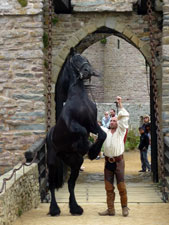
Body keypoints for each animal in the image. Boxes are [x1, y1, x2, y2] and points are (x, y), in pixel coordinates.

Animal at [46, 49, 107, 216]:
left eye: (85, 58)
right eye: (76, 59)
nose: (87, 71)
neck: (79, 99)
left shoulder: (93, 123)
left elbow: (103, 134)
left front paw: (93, 152)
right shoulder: (72, 125)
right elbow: (82, 131)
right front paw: (87, 147)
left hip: (74, 163)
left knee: (70, 184)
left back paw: (75, 208)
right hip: (52, 163)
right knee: (51, 184)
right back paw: (54, 209)